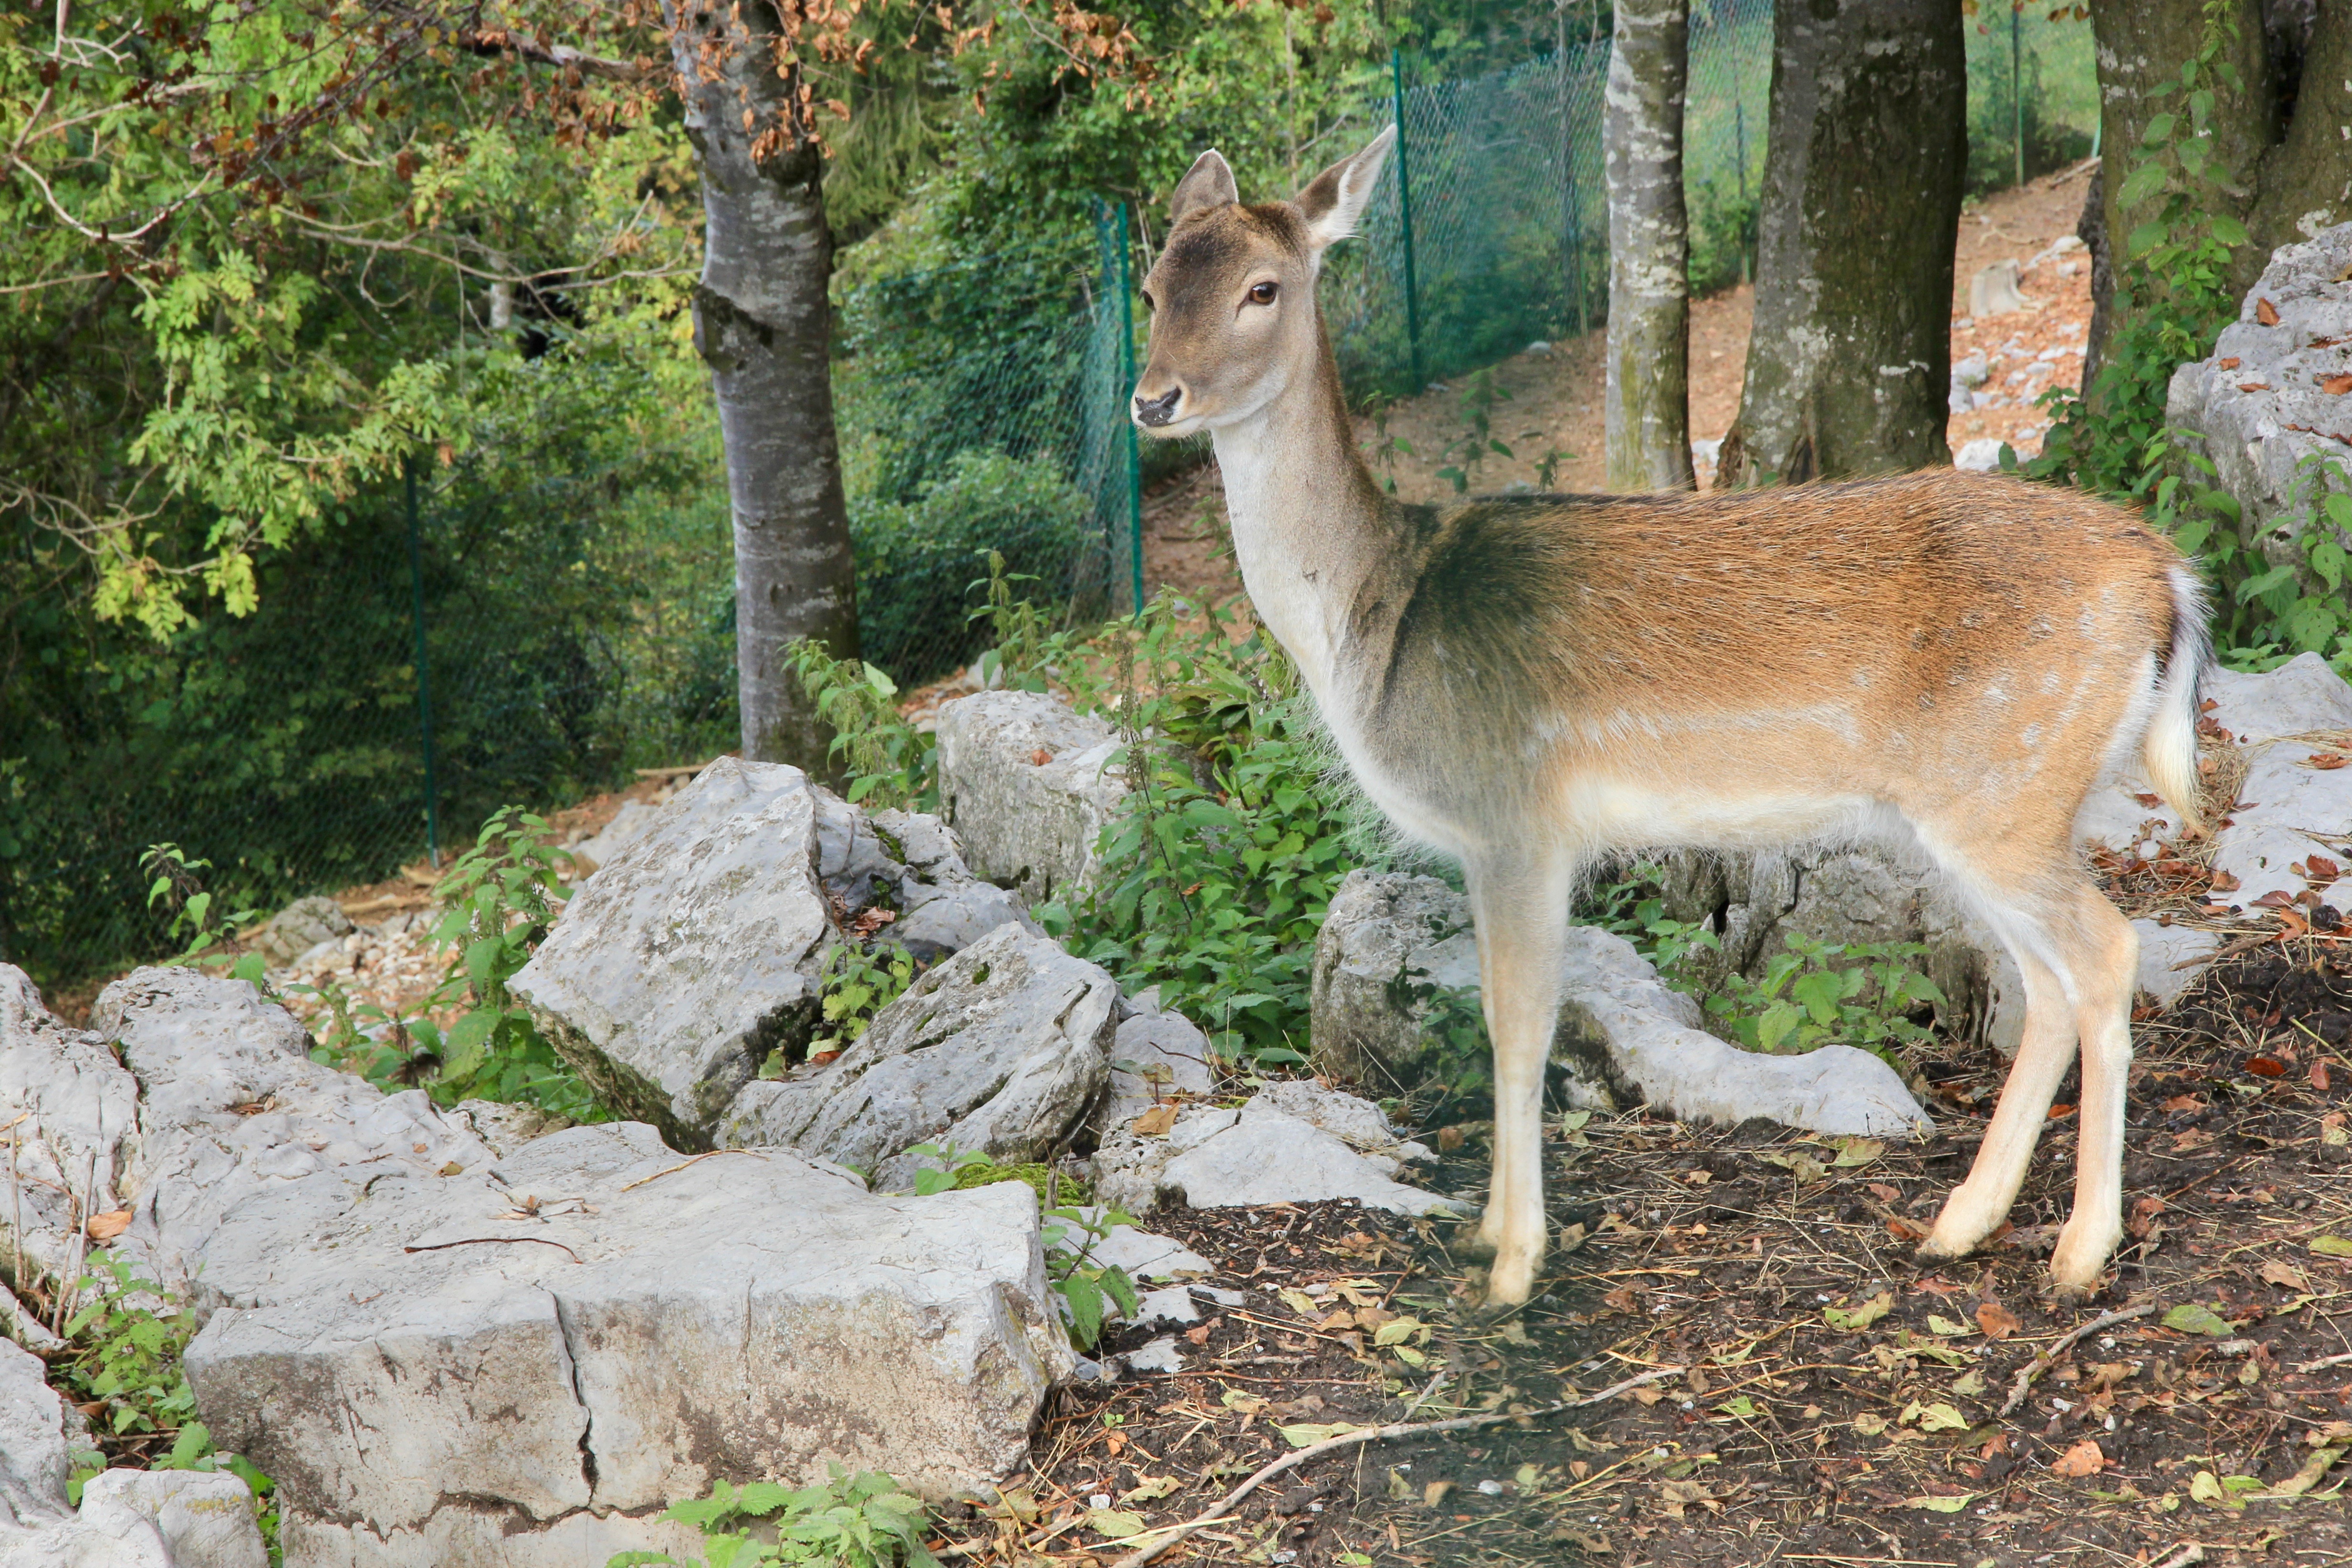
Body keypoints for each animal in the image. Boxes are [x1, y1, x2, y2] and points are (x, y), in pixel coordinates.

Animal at [1129, 128, 2211, 1316]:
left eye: (1260, 288)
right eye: (1151, 285)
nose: (1152, 397)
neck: (1371, 620)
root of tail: (2166, 578)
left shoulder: (1516, 818)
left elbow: (1516, 1025)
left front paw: (1512, 1265)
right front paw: (1489, 1234)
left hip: (2004, 787)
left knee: (2107, 952)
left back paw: (2081, 1248)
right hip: (1999, 806)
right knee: (2046, 984)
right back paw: (1957, 1224)